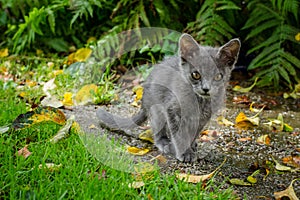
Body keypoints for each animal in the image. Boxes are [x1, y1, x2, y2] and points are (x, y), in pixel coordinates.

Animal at [97, 34, 240, 162]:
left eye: (218, 76)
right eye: (196, 74)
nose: (206, 88)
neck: (199, 101)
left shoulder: (203, 117)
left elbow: (194, 133)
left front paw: (191, 145)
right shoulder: (172, 109)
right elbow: (179, 134)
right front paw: (185, 152)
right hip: (157, 108)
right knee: (158, 131)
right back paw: (165, 143)